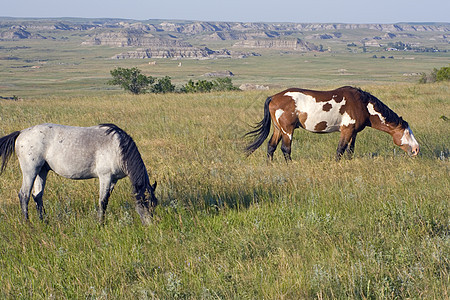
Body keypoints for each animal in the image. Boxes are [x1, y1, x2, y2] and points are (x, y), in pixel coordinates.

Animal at [0, 123, 158, 224]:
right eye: (146, 204)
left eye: (154, 204)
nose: (150, 225)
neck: (118, 147)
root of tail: (21, 133)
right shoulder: (105, 177)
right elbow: (102, 201)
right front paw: (100, 224)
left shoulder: (113, 180)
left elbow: (106, 200)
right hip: (30, 171)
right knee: (24, 195)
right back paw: (27, 223)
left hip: (42, 171)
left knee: (37, 195)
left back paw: (43, 221)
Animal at [246, 85, 418, 161]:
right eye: (407, 133)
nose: (416, 150)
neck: (362, 104)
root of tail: (273, 97)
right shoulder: (346, 130)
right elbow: (340, 150)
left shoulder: (353, 132)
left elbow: (350, 150)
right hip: (287, 130)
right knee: (285, 149)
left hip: (278, 129)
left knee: (271, 146)